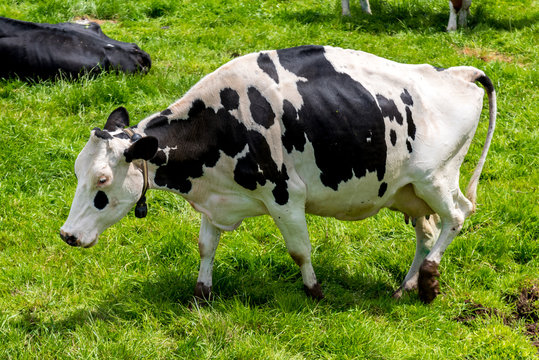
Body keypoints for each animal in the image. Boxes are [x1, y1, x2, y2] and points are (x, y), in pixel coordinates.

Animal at [60, 45, 498, 304]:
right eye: (78, 170)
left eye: (102, 180)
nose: (67, 235)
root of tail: (454, 73)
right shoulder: (216, 201)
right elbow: (206, 247)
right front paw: (202, 293)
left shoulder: (286, 196)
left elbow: (299, 250)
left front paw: (315, 292)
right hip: (406, 191)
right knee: (427, 231)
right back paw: (406, 286)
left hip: (435, 178)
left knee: (458, 215)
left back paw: (429, 280)